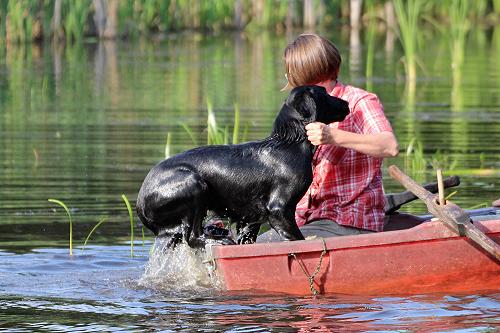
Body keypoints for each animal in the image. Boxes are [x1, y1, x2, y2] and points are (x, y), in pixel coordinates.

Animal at [135, 85, 350, 246]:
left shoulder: (251, 221)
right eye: (324, 92)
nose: (346, 103)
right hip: (194, 184)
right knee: (194, 236)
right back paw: (219, 238)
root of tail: (139, 203)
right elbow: (297, 239)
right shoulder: (279, 210)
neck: (290, 144)